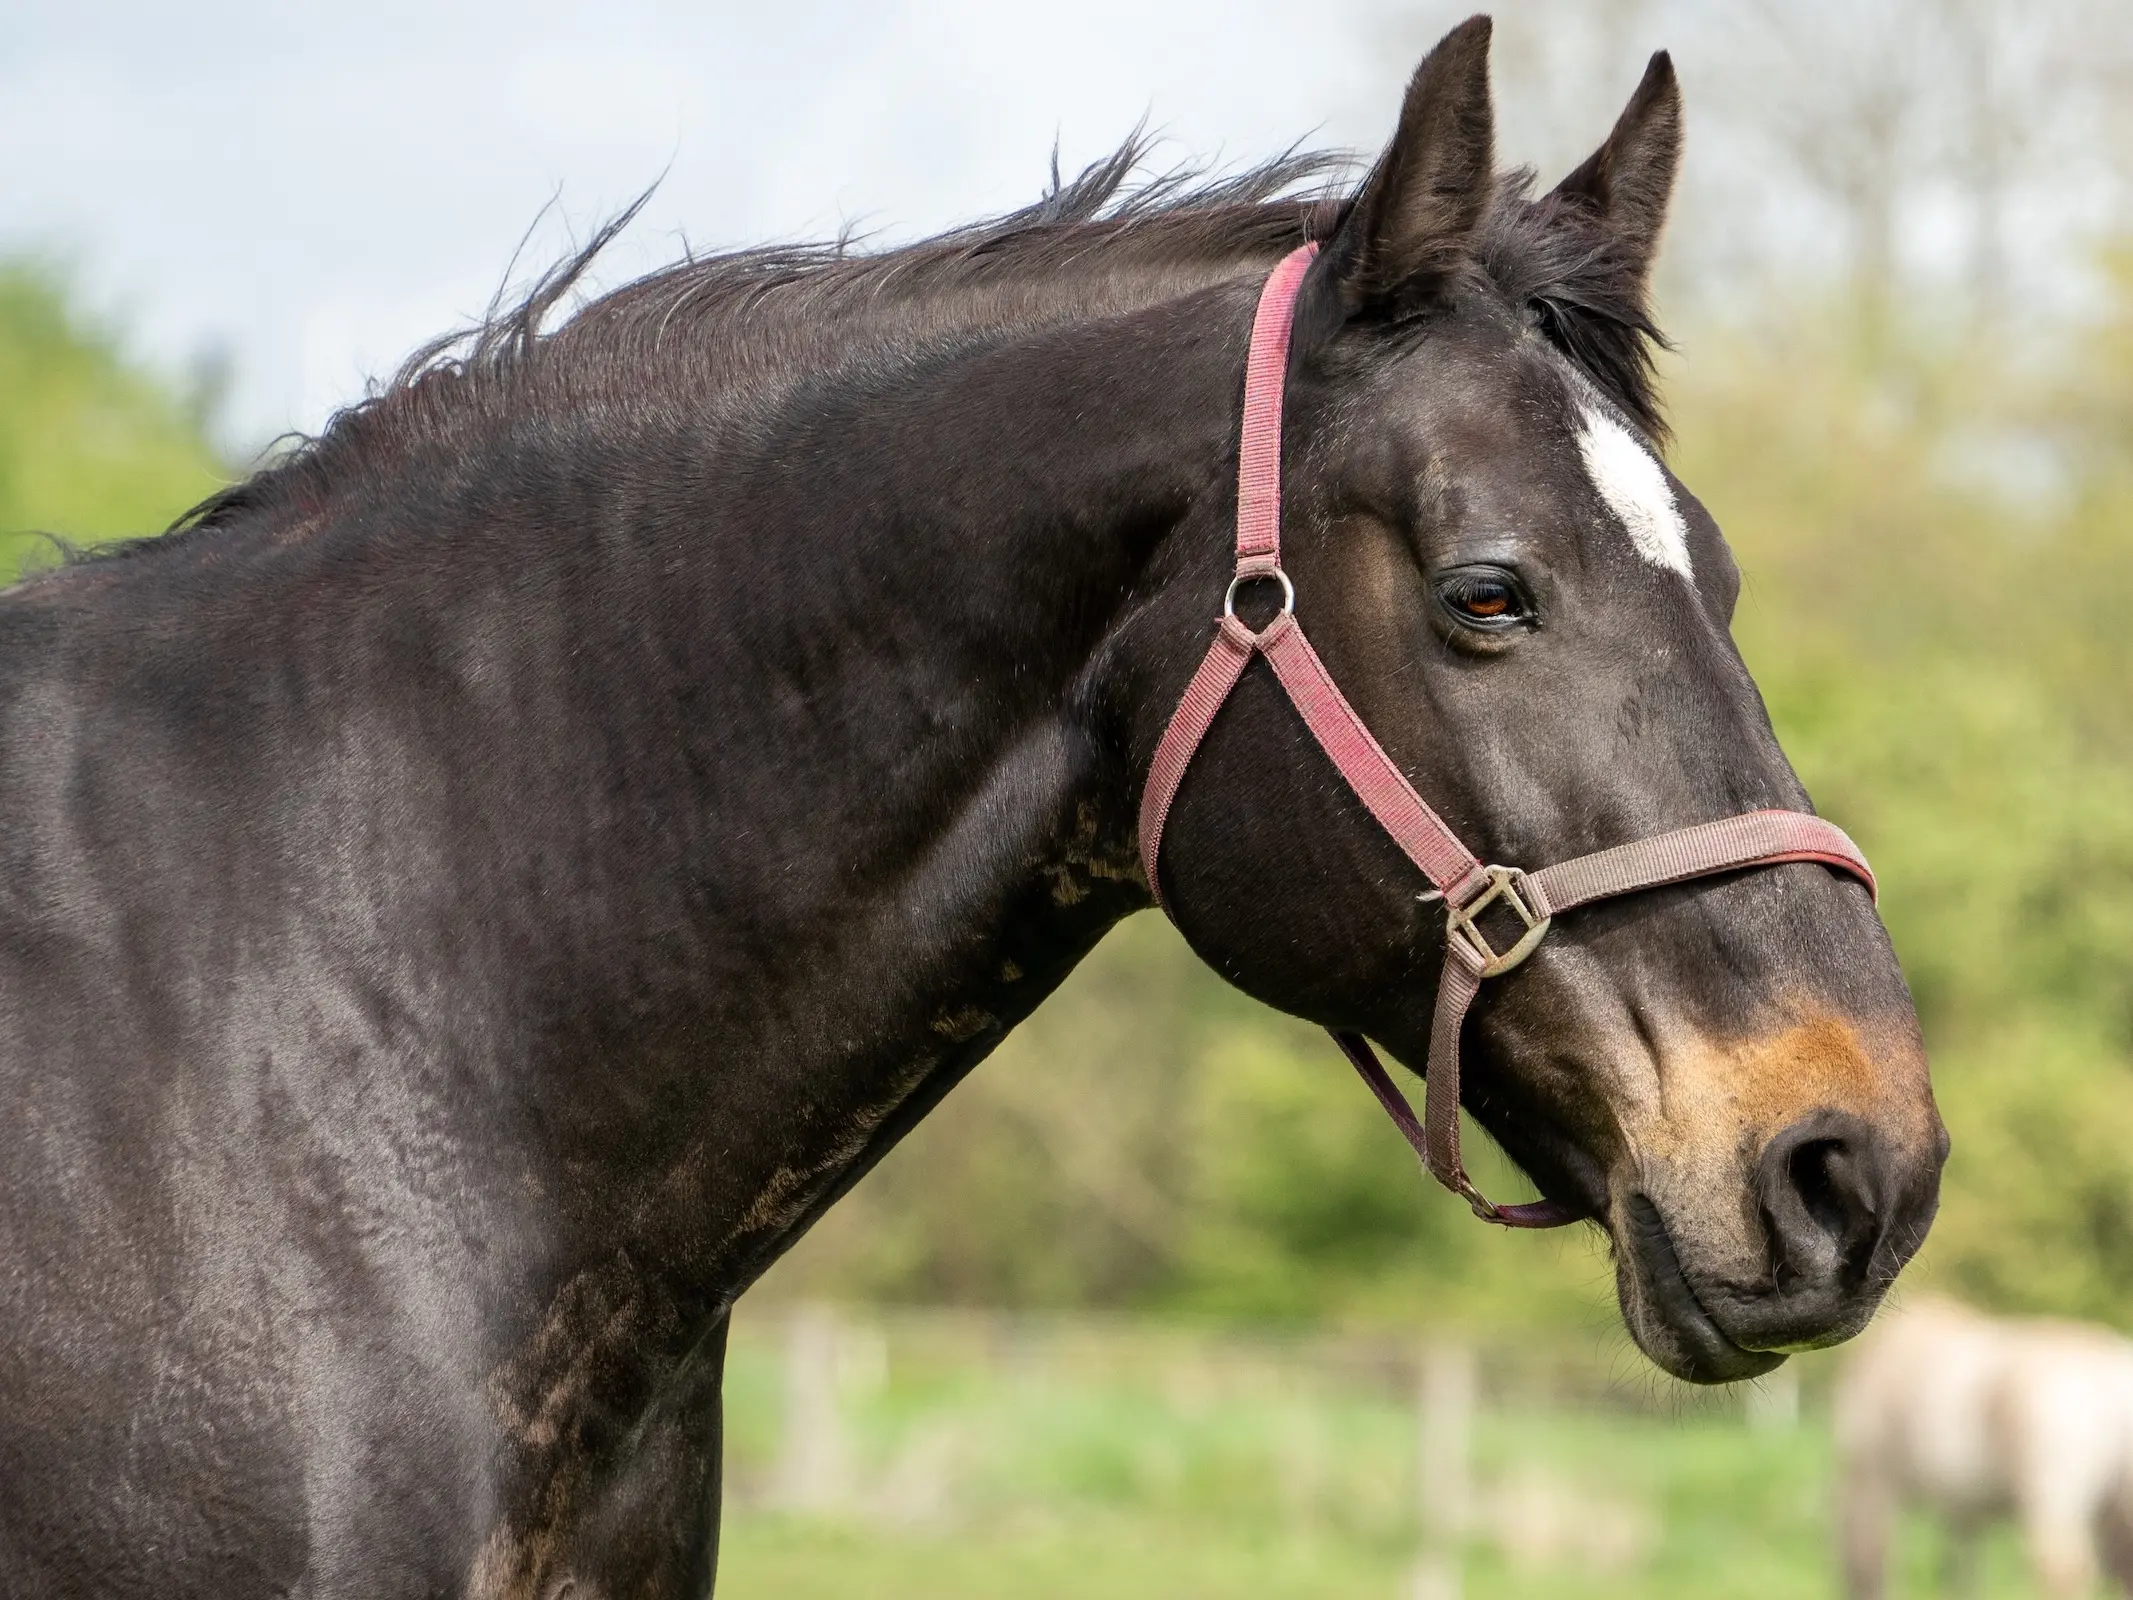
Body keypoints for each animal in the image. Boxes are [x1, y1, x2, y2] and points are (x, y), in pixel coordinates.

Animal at [1834, 1297, 2133, 1595]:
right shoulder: (1963, 1507)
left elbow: (1876, 1554)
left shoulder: (1875, 1478)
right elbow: (1962, 1568)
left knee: (2062, 1569)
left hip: (2051, 1501)